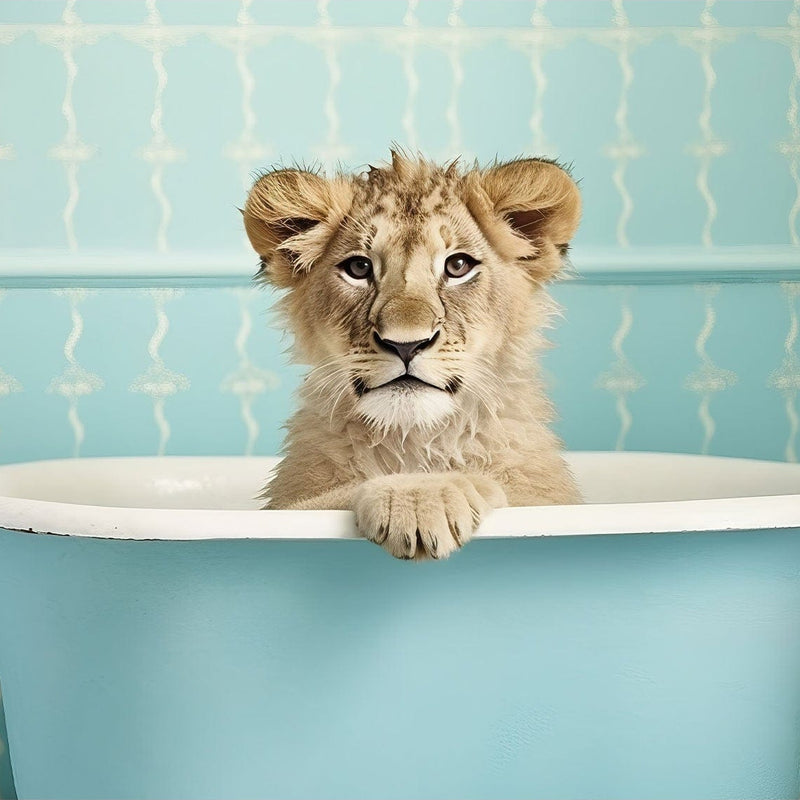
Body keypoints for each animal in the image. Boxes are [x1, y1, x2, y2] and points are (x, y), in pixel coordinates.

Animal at [243, 151, 582, 560]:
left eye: (457, 266)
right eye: (359, 268)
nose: (406, 344)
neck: (417, 440)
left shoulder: (551, 498)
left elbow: (514, 492)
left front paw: (441, 489)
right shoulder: (287, 506)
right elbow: (330, 498)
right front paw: (421, 494)